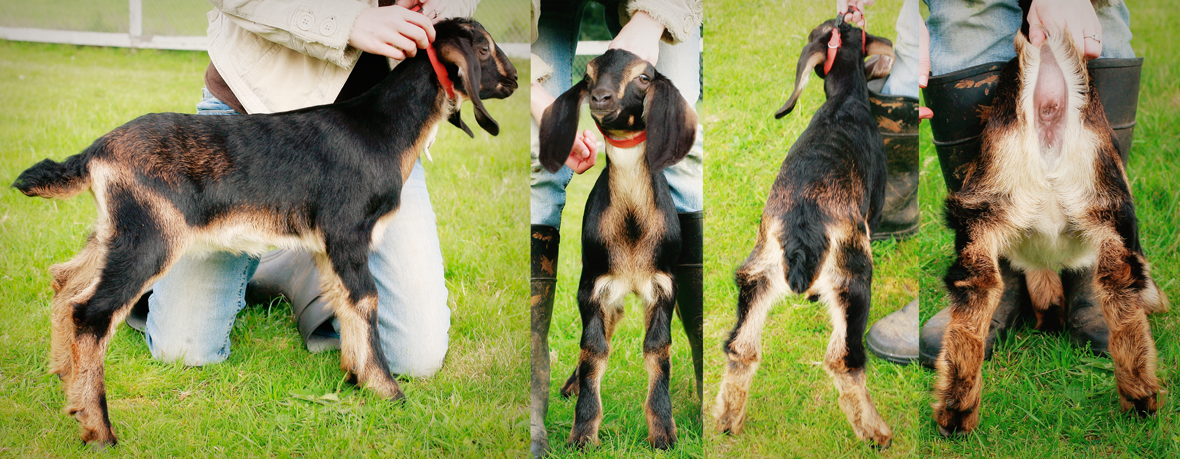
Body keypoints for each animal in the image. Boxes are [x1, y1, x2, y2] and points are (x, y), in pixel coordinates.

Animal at [11, 18, 517, 446]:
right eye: (485, 48)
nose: (513, 79)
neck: (381, 128)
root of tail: (97, 151)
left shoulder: (327, 246)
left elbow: (343, 301)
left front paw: (354, 377)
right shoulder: (348, 232)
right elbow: (365, 301)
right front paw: (387, 390)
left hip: (115, 230)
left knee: (65, 282)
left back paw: (65, 381)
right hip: (149, 236)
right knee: (91, 313)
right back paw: (98, 428)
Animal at [538, 49, 697, 449]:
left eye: (644, 77)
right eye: (589, 76)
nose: (601, 98)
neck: (631, 225)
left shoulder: (663, 285)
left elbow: (658, 349)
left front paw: (663, 432)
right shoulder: (593, 286)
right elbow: (593, 350)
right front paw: (583, 433)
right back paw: (570, 385)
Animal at [711, 17, 896, 447]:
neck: (844, 101)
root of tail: (801, 228)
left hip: (757, 273)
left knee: (741, 347)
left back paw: (727, 420)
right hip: (853, 279)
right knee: (844, 360)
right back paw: (876, 432)